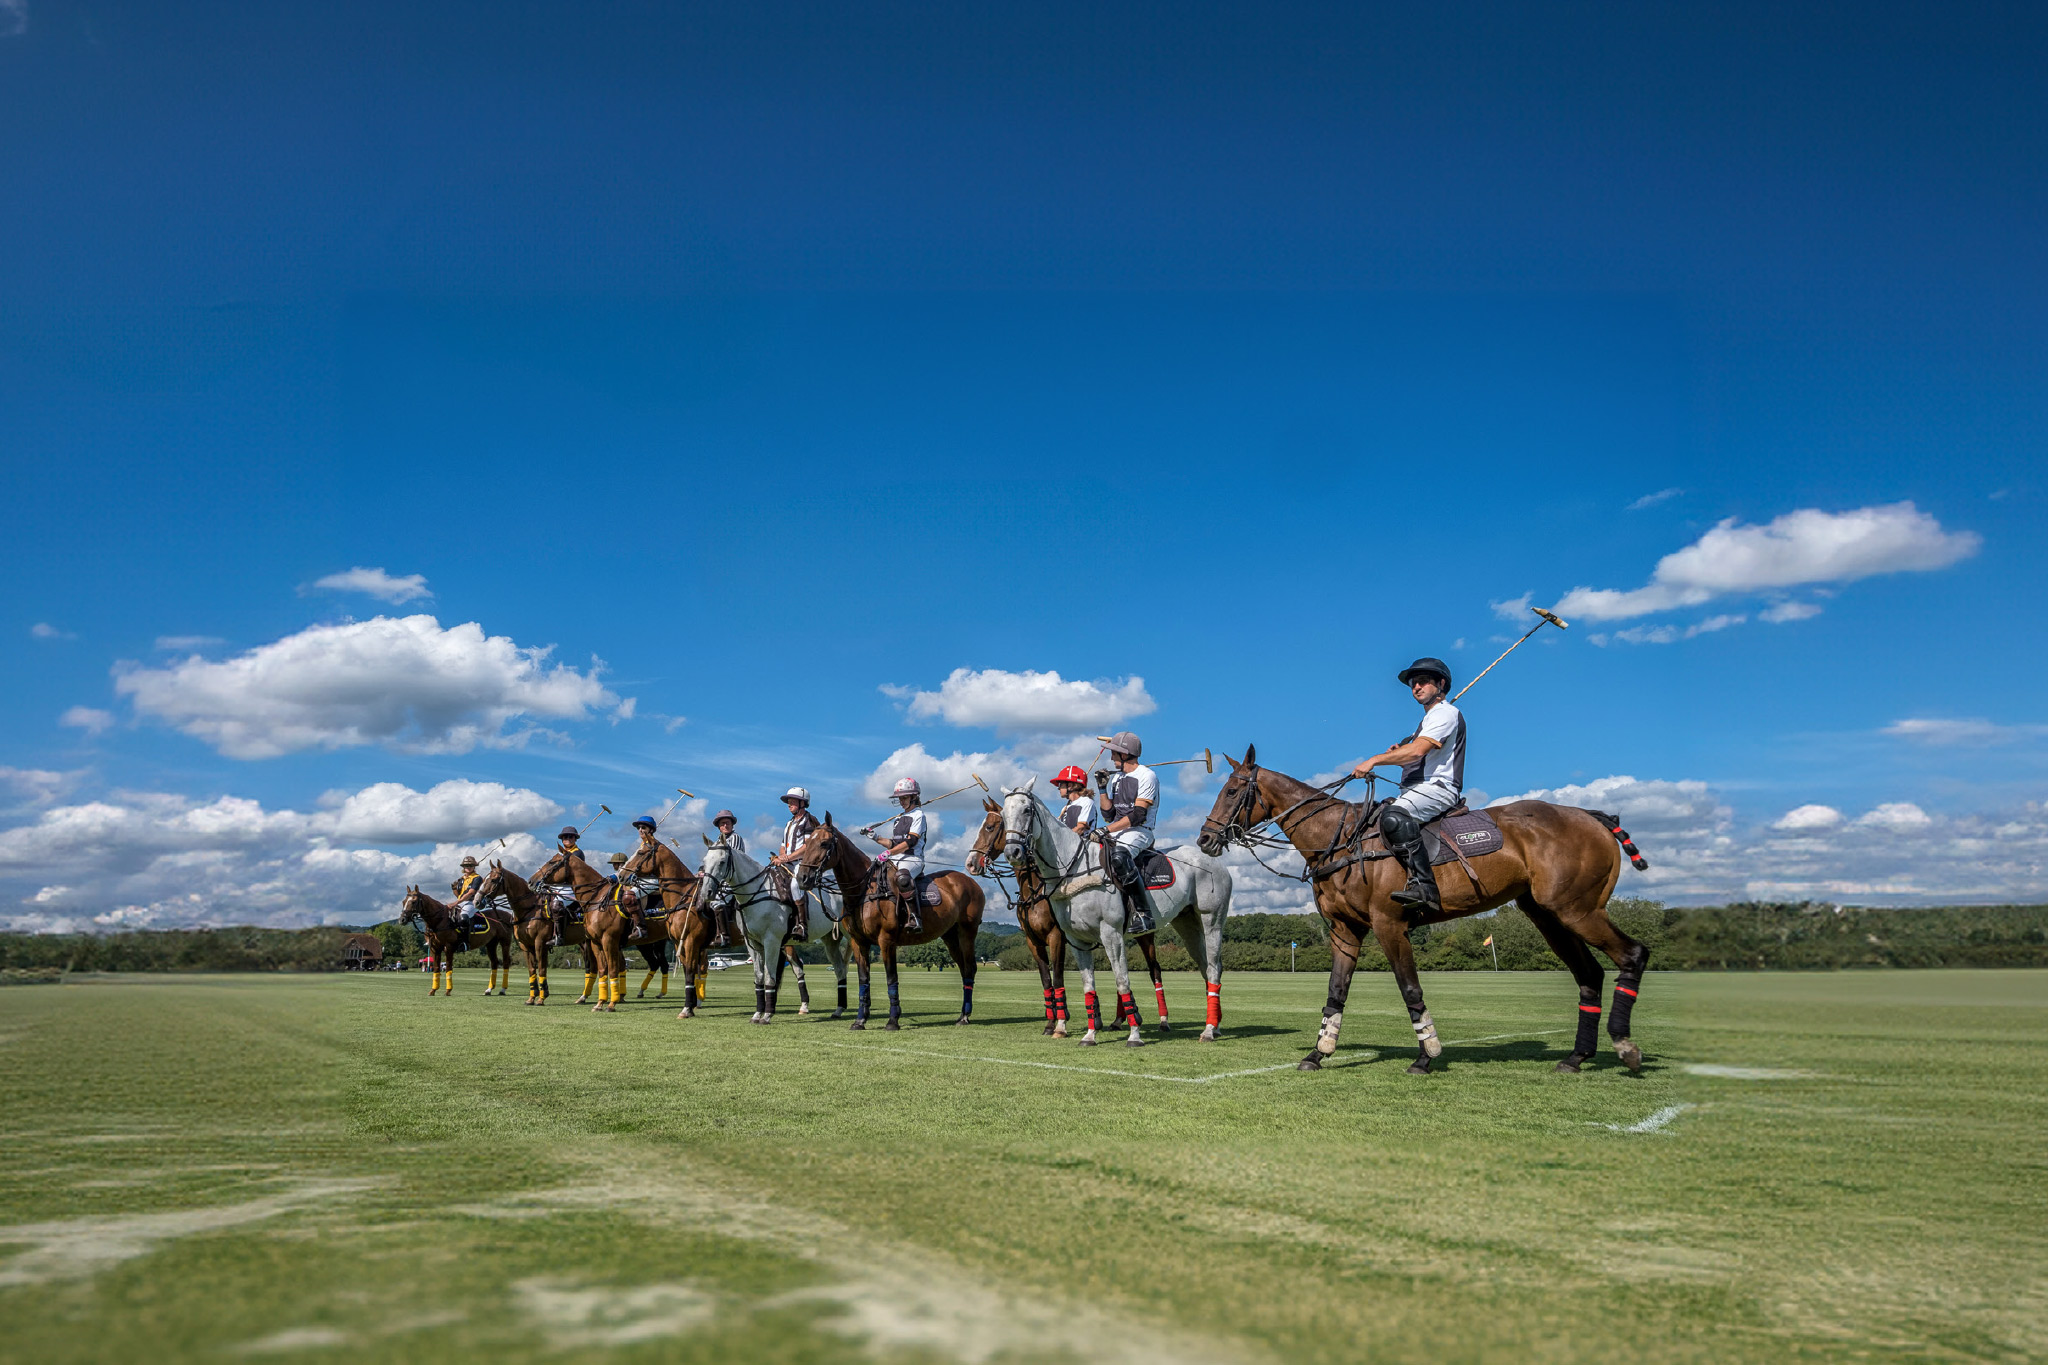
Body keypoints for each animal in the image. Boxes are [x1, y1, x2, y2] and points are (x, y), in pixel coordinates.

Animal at [790, 818, 983, 1031]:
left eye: (824, 843)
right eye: (807, 843)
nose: (802, 878)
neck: (864, 889)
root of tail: (970, 881)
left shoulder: (886, 940)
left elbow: (892, 978)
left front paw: (892, 1021)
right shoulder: (859, 942)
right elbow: (863, 980)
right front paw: (860, 1020)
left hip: (967, 931)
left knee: (970, 968)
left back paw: (965, 1016)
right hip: (949, 935)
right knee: (963, 968)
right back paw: (962, 1015)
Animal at [966, 802, 1179, 1035]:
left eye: (991, 826)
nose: (971, 863)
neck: (1035, 889)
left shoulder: (1056, 936)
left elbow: (1058, 976)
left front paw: (1061, 1021)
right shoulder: (1033, 941)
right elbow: (1046, 980)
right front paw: (1052, 1022)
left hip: (1144, 935)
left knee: (1154, 969)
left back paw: (1163, 1020)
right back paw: (1117, 1020)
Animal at [1003, 777, 1228, 1047]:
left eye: (1027, 810)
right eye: (1003, 815)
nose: (1012, 852)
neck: (1073, 869)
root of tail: (1215, 861)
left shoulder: (1110, 933)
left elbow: (1122, 982)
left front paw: (1134, 1035)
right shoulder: (1076, 939)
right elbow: (1088, 986)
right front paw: (1089, 1036)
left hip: (1211, 918)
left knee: (1213, 966)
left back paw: (1207, 1030)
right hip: (1187, 924)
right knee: (1206, 967)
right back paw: (1214, 1025)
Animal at [1196, 749, 1646, 1080]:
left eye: (1233, 790)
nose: (1205, 839)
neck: (1338, 840)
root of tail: (1591, 816)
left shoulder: (1389, 924)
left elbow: (1410, 990)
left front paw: (1426, 1056)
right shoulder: (1345, 930)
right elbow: (1335, 992)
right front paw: (1317, 1054)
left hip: (1577, 908)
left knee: (1632, 954)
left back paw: (1625, 1047)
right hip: (1548, 914)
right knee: (1590, 974)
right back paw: (1576, 1057)